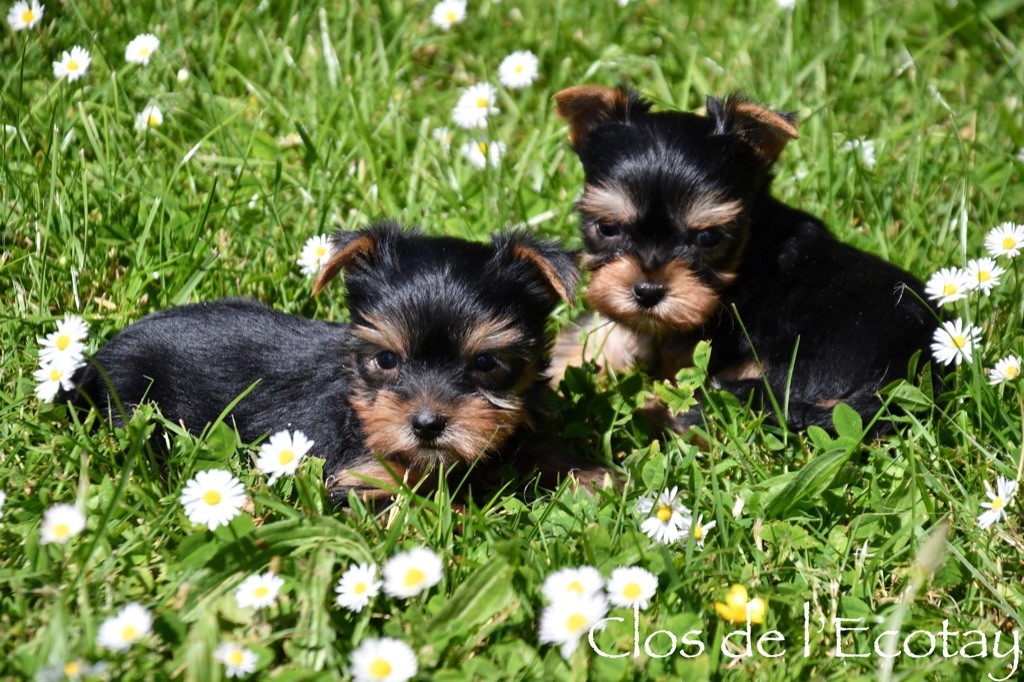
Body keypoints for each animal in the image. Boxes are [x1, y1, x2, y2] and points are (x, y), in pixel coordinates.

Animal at [61, 220, 598, 501]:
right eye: (386, 359)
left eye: (487, 363)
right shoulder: (355, 477)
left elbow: (535, 447)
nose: (427, 424)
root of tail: (93, 362)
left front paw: (592, 477)